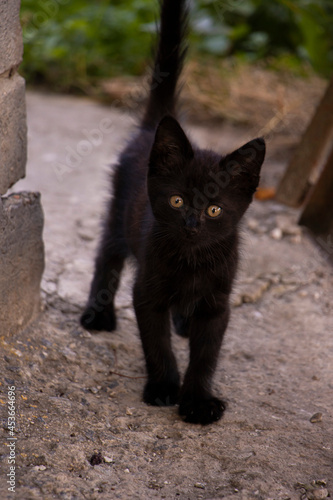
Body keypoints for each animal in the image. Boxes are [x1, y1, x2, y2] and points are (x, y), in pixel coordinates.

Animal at [80, 0, 264, 426]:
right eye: (177, 201)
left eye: (214, 208)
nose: (191, 225)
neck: (191, 260)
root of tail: (151, 132)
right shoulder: (148, 291)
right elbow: (156, 342)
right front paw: (164, 387)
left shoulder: (218, 302)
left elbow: (206, 354)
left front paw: (197, 400)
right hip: (119, 214)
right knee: (107, 254)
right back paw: (98, 313)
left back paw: (182, 322)